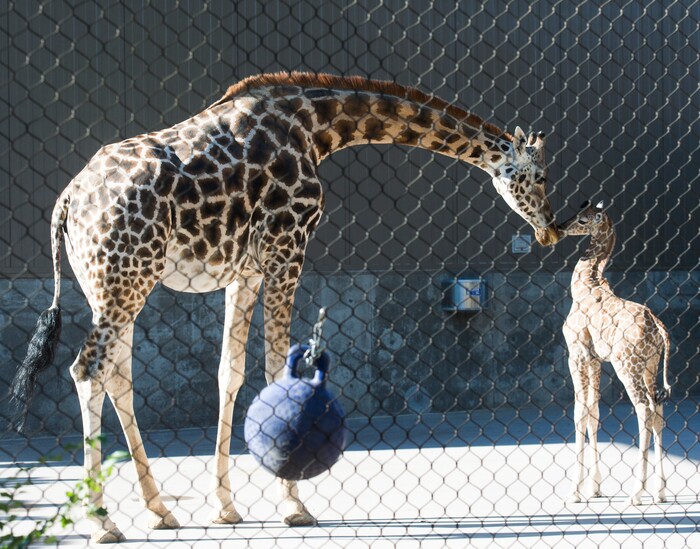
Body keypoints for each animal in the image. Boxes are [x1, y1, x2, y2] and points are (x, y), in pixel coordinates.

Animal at [10, 72, 561, 543]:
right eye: (536, 176)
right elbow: (278, 367)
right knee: (87, 370)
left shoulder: (248, 270)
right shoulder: (288, 245)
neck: (317, 128)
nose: (550, 230)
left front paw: (226, 507)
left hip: (112, 285)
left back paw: (159, 510)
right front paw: (294, 505)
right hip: (126, 277)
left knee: (117, 375)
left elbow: (229, 373)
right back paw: (102, 522)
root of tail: (66, 202)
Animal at [560, 201, 671, 505]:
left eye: (583, 220)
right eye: (576, 212)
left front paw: (575, 491)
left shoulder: (577, 353)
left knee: (643, 408)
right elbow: (594, 410)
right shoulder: (596, 360)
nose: (560, 227)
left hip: (627, 365)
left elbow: (579, 411)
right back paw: (660, 492)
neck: (586, 284)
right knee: (658, 408)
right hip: (650, 365)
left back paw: (636, 493)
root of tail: (659, 329)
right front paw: (594, 487)